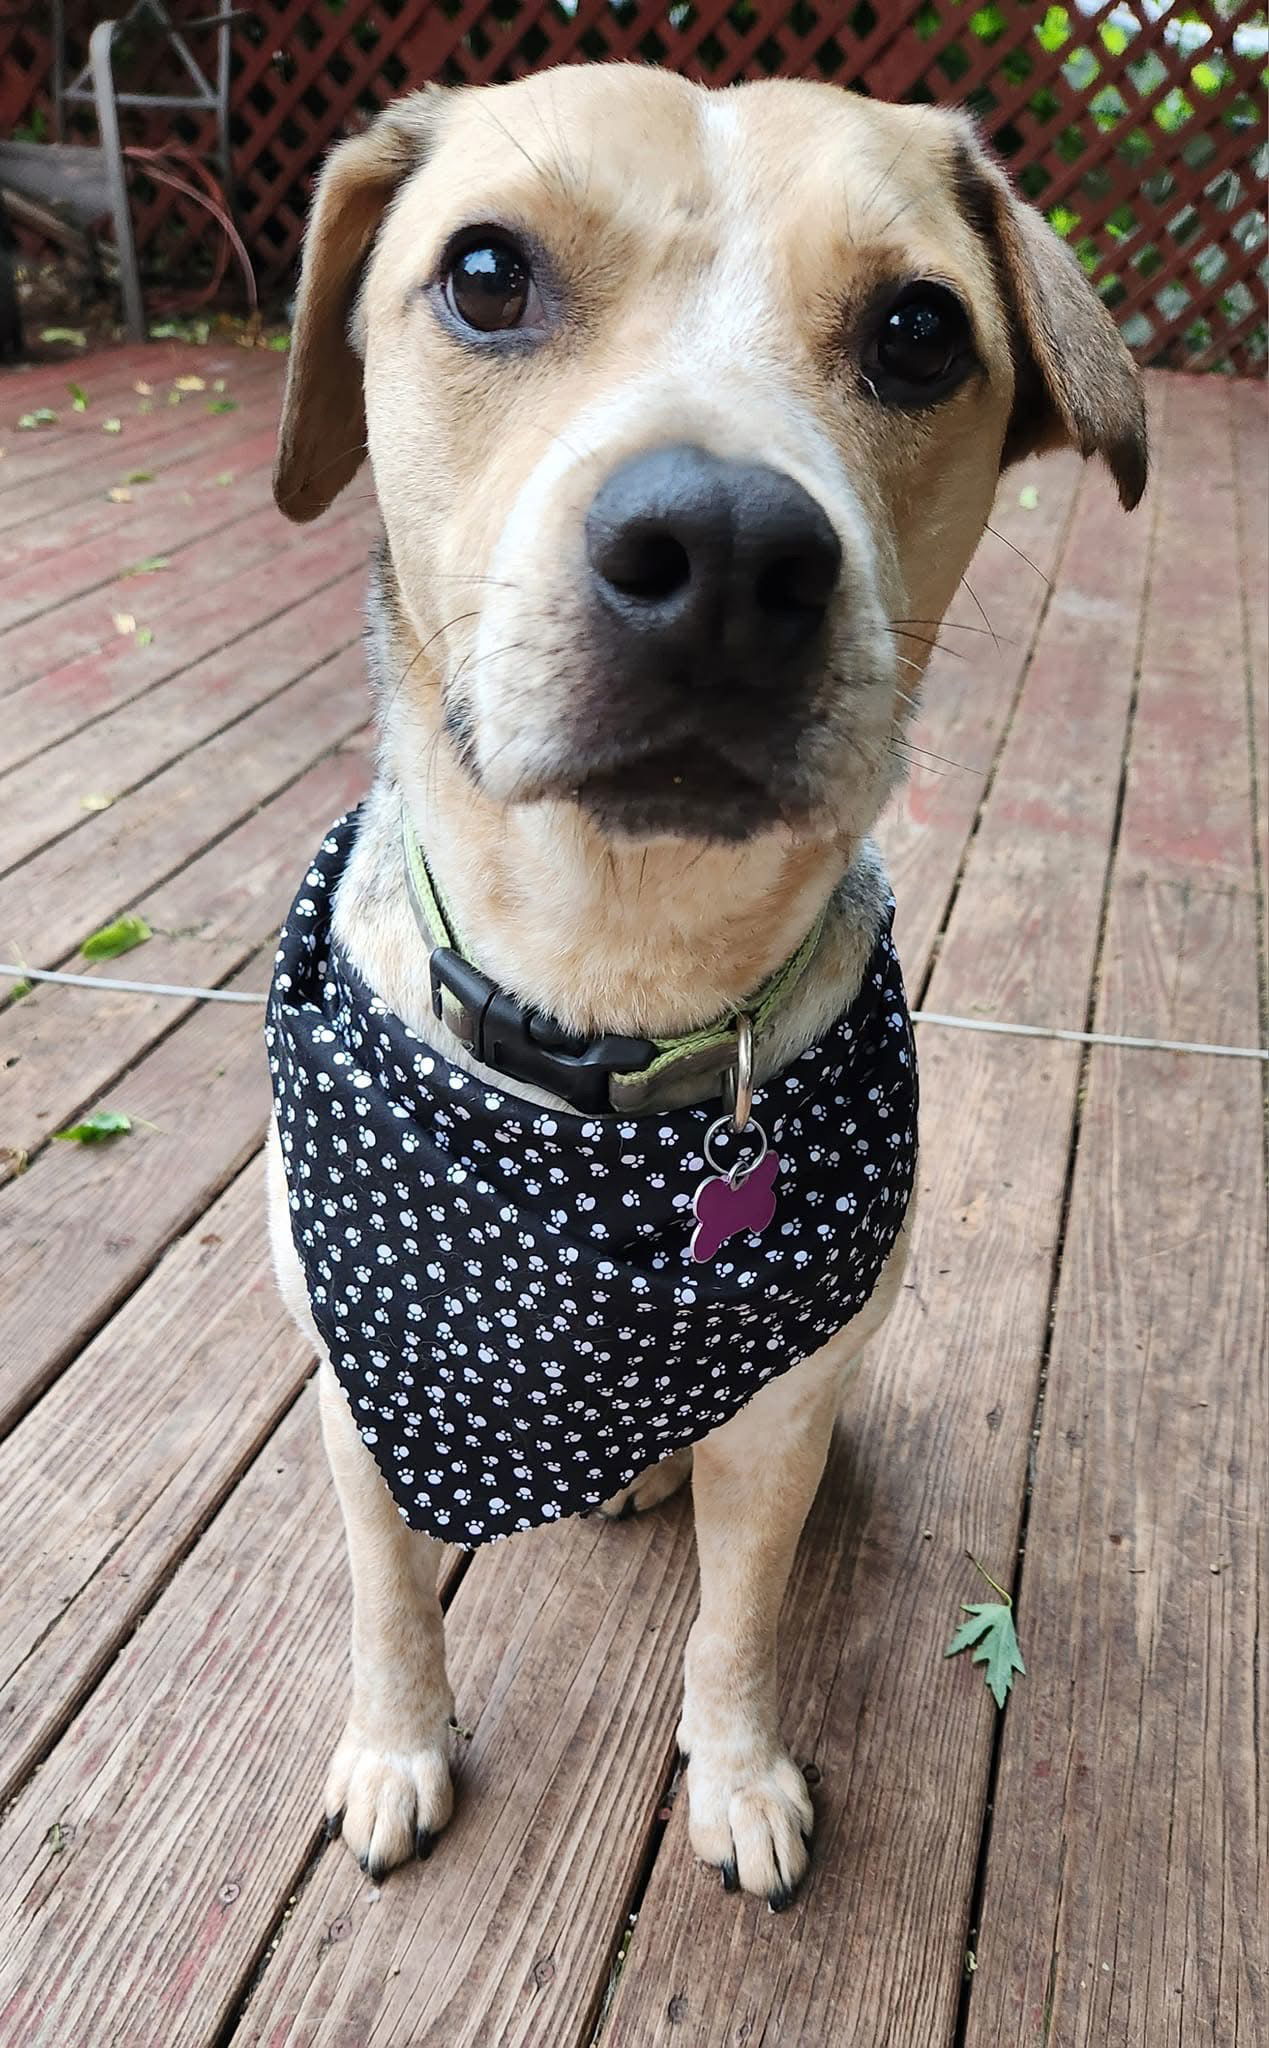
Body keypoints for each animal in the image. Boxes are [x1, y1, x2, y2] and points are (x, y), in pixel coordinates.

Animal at [261, 68, 1146, 1916]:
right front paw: (395, 1751)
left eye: (915, 329)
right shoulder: (360, 1403)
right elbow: (387, 1606)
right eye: (485, 274)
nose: (726, 550)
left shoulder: (778, 1432)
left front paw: (735, 1780)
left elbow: (736, 1629)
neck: (610, 988)